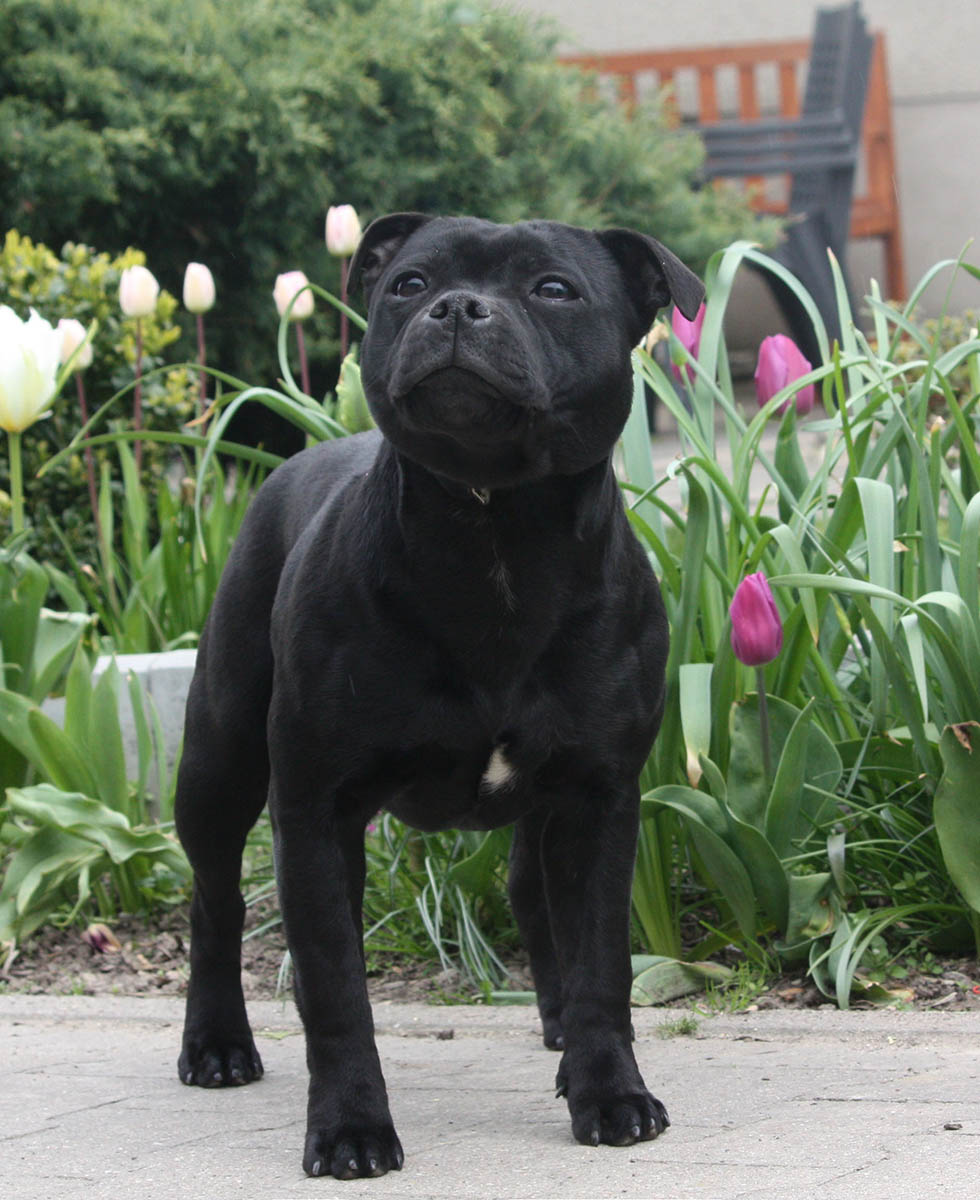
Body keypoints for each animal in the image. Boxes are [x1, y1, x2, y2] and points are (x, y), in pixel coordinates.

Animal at [171, 211, 700, 1176]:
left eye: (554, 289)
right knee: (218, 898)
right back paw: (218, 1043)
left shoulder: (598, 799)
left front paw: (609, 1091)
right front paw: (350, 1127)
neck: (495, 529)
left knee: (533, 896)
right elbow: (336, 990)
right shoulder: (316, 807)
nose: (456, 307)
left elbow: (602, 962)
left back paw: (561, 1038)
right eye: (408, 284)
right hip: (220, 761)